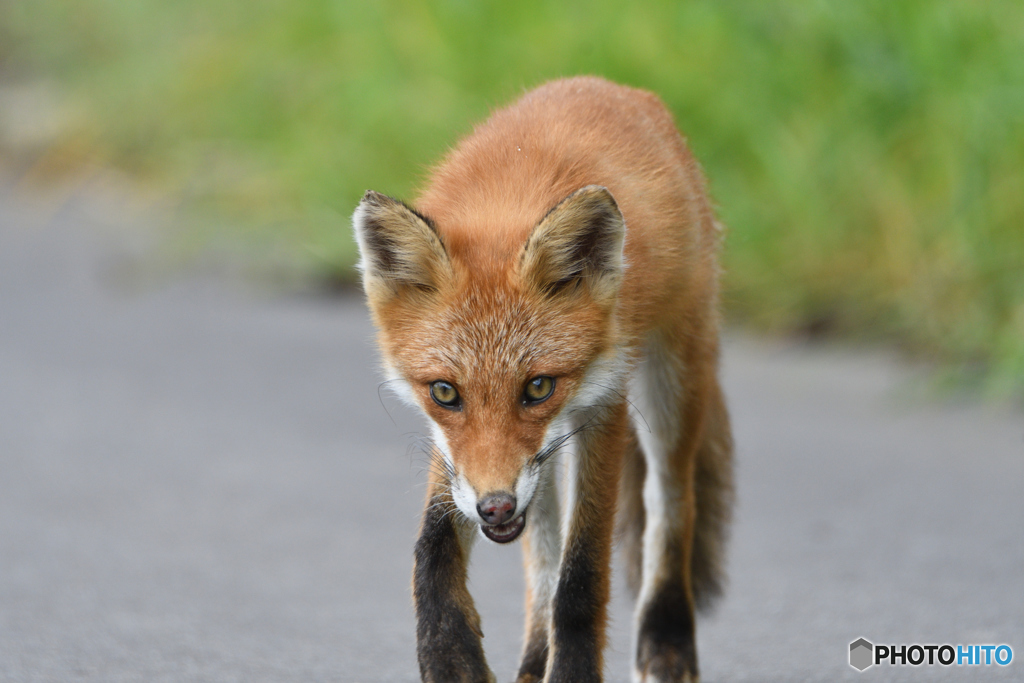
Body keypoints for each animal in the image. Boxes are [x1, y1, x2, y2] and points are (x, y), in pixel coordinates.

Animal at [356, 76, 733, 683]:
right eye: (445, 392)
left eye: (537, 387)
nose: (495, 508)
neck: (508, 201)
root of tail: (609, 85)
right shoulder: (457, 452)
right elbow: (433, 551)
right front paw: (450, 658)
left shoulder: (604, 403)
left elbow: (580, 578)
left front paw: (573, 669)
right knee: (543, 559)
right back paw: (534, 660)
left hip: (671, 381)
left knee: (672, 503)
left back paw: (667, 639)